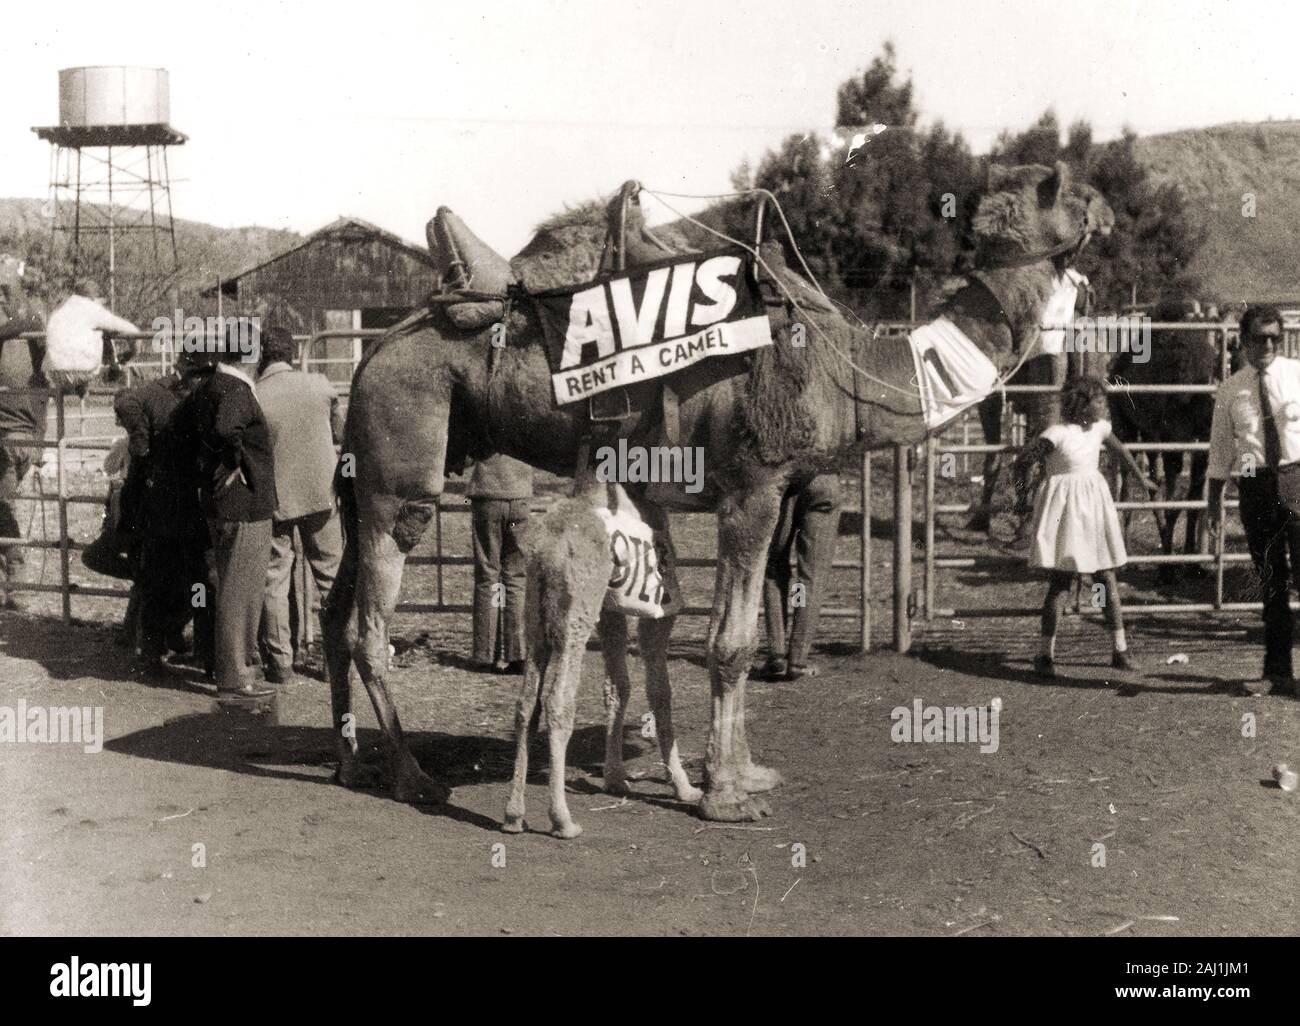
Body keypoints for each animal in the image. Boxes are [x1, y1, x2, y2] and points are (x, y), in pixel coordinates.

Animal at [325, 161, 1118, 816]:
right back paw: (414, 779)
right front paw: (727, 795)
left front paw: (739, 773)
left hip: (365, 476)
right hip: (403, 464)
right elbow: (729, 643)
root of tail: (367, 357)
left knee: (337, 616)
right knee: (371, 625)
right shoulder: (752, 487)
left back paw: (349, 764)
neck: (848, 367)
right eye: (1060, 188)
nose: (1107, 209)